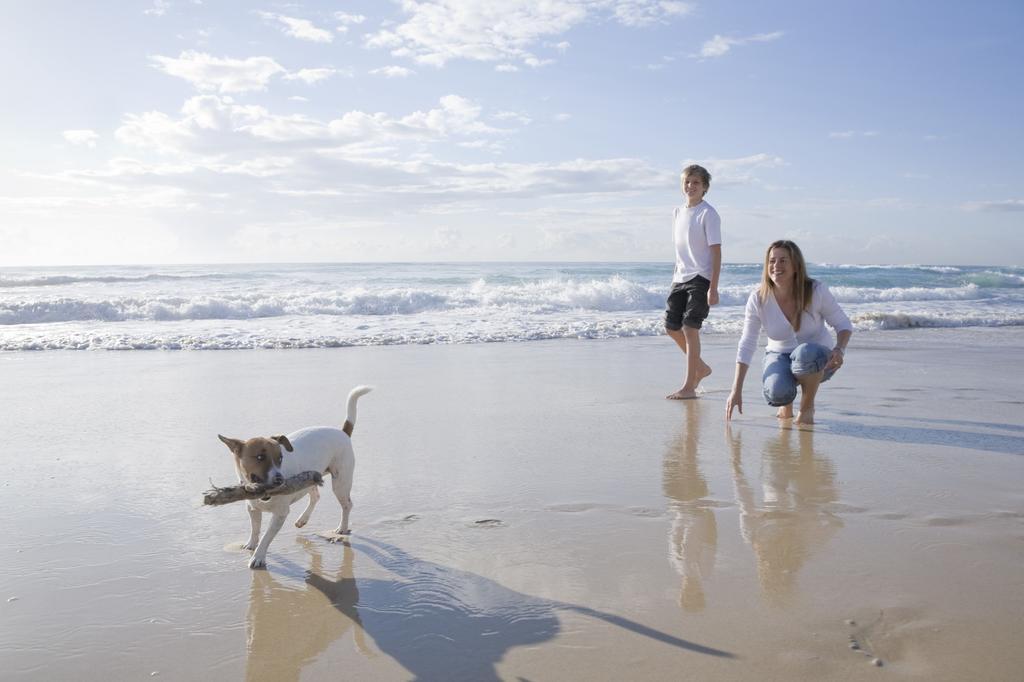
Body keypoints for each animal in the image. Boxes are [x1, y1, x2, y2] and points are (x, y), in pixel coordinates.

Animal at [218, 385, 374, 565]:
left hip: (341, 482)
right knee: (315, 496)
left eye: (280, 458)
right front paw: (251, 544)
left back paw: (342, 528)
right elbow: (255, 529)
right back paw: (303, 519)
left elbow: (266, 537)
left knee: (347, 505)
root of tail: (343, 433)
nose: (280, 480)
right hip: (310, 478)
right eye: (260, 457)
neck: (263, 497)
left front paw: (258, 556)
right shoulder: (252, 509)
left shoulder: (280, 514)